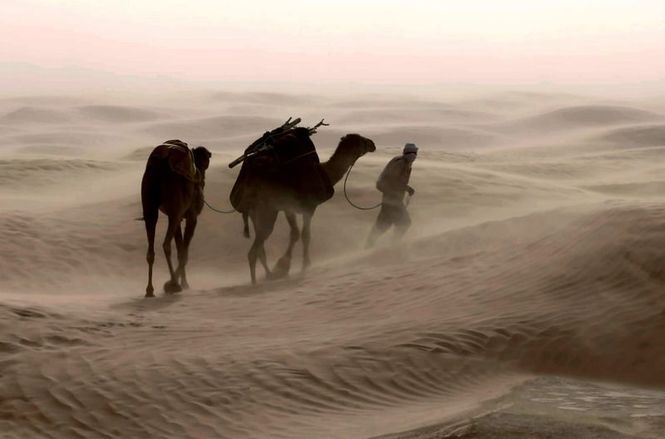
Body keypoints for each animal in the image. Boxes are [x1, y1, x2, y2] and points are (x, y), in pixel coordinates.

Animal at [141, 141, 211, 300]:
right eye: (206, 163)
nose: (202, 182)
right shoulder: (191, 216)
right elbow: (184, 252)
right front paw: (177, 284)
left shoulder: (178, 218)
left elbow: (180, 250)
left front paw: (184, 282)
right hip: (174, 209)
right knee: (166, 244)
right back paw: (172, 284)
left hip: (149, 206)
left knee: (150, 250)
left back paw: (150, 290)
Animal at [235, 129, 374, 284]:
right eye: (362, 141)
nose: (372, 144)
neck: (325, 172)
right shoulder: (309, 207)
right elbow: (305, 235)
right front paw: (302, 264)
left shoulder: (289, 208)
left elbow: (295, 233)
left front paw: (283, 266)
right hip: (267, 212)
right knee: (254, 250)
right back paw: (256, 283)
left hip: (256, 214)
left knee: (260, 249)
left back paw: (269, 275)